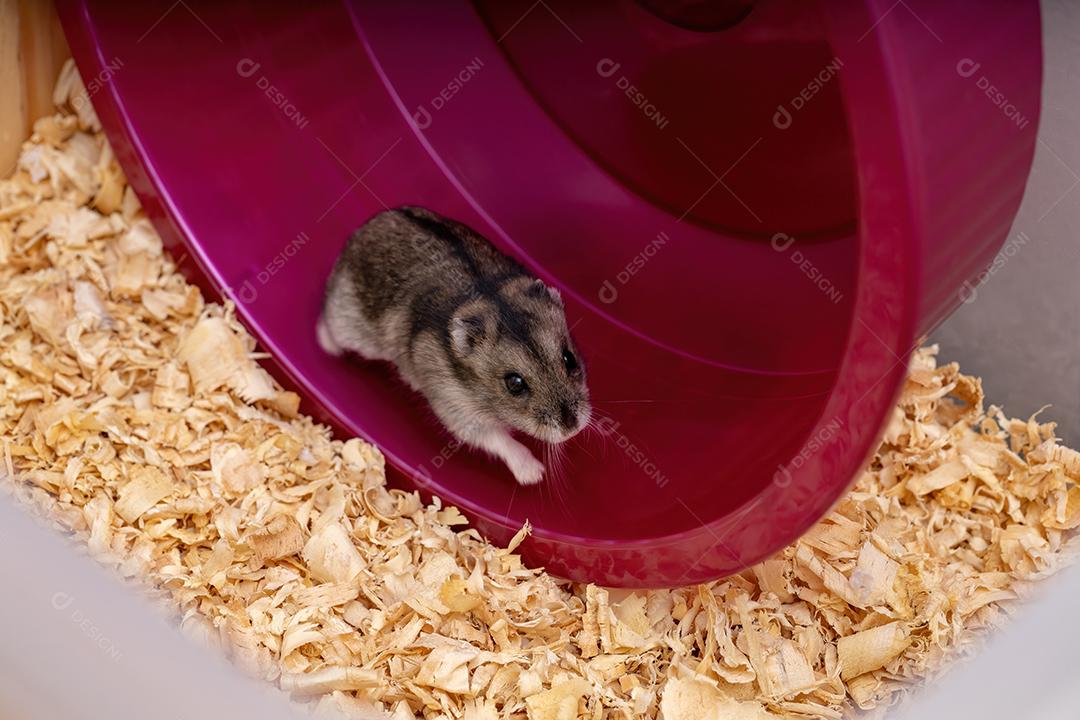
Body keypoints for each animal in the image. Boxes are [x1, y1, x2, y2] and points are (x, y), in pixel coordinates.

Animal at [317, 206, 591, 485]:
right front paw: (535, 475)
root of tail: (366, 227)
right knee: (327, 321)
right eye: (514, 384)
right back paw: (327, 346)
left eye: (569, 358)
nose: (573, 428)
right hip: (351, 329)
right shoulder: (456, 407)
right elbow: (496, 439)